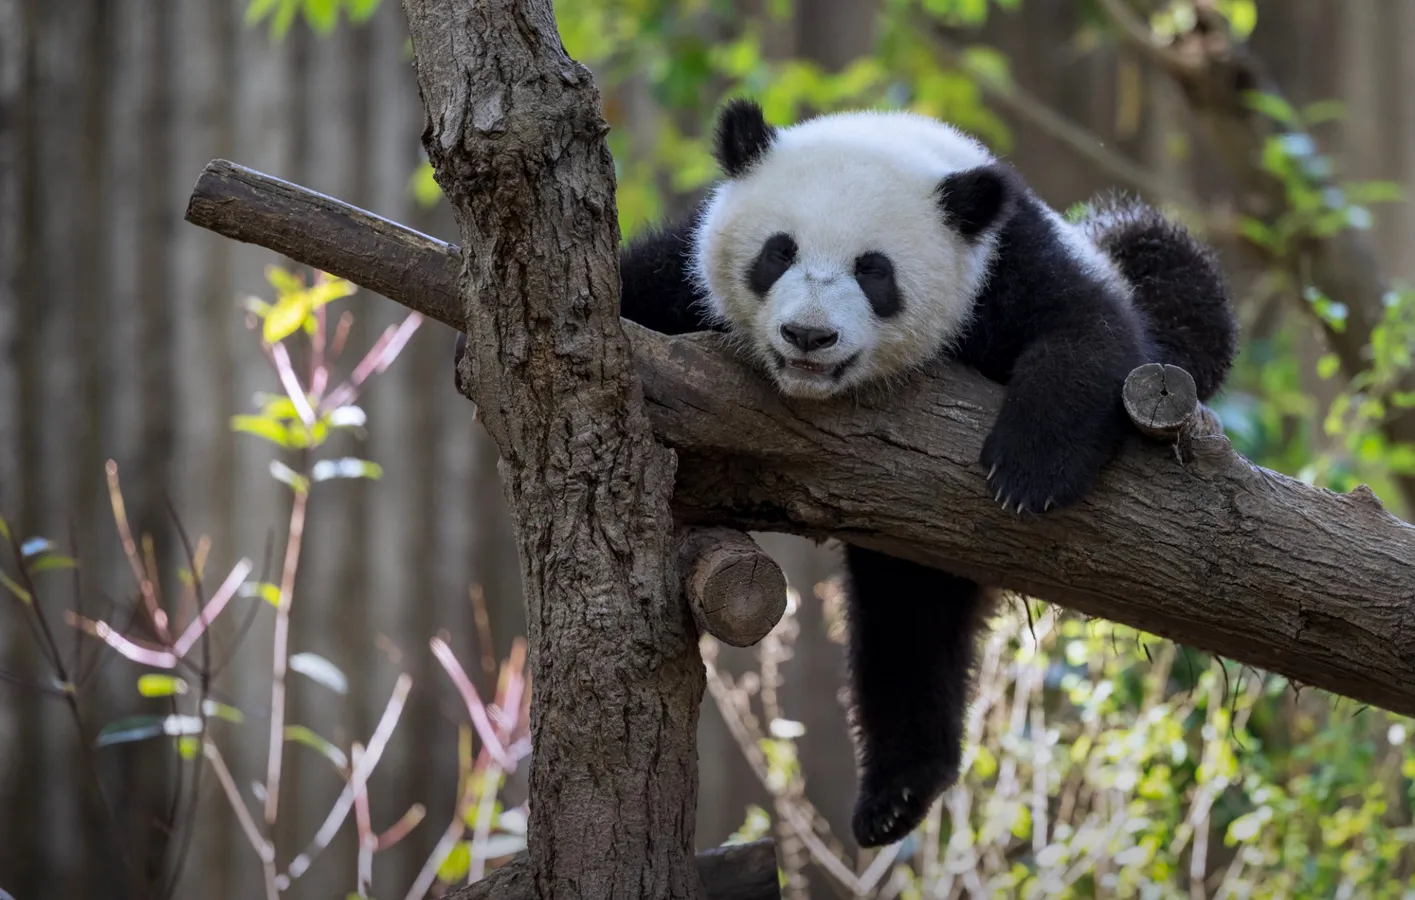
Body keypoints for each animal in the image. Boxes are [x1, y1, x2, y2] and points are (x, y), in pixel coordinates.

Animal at [461, 98, 1238, 848]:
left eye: (874, 269)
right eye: (778, 253)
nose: (808, 337)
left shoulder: (1011, 263)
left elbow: (1093, 334)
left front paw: (1029, 468)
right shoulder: (678, 275)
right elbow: (623, 294)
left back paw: (897, 790)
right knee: (909, 622)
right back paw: (897, 795)